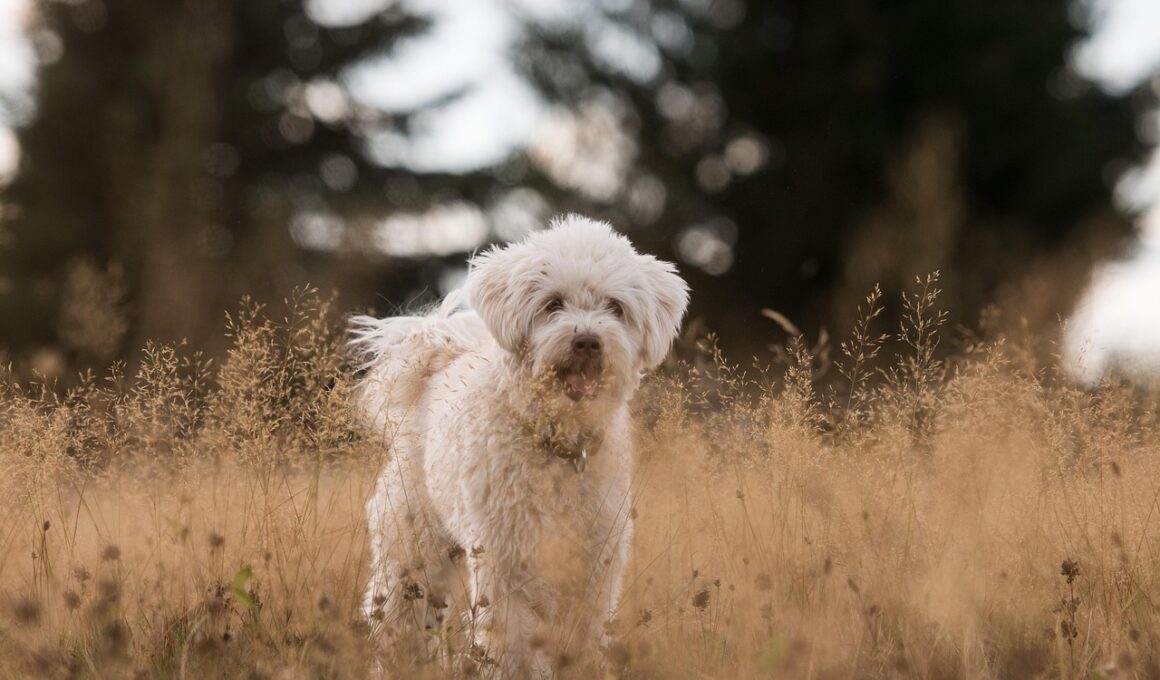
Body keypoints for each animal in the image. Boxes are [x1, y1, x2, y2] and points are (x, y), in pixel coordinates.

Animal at [350, 214, 689, 676]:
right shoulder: (505, 563)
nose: (587, 341)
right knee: (394, 625)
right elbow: (508, 645)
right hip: (410, 551)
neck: (558, 446)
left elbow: (582, 640)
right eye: (553, 304)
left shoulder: (595, 565)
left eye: (615, 307)